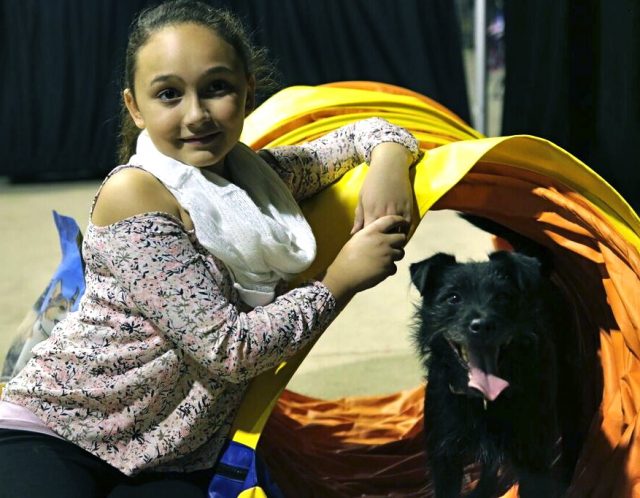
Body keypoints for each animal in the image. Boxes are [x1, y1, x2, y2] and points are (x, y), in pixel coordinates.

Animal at [412, 239, 576, 496]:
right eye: (453, 298)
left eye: (503, 297)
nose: (482, 325)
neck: (484, 399)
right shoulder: (444, 456)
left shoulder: (532, 454)